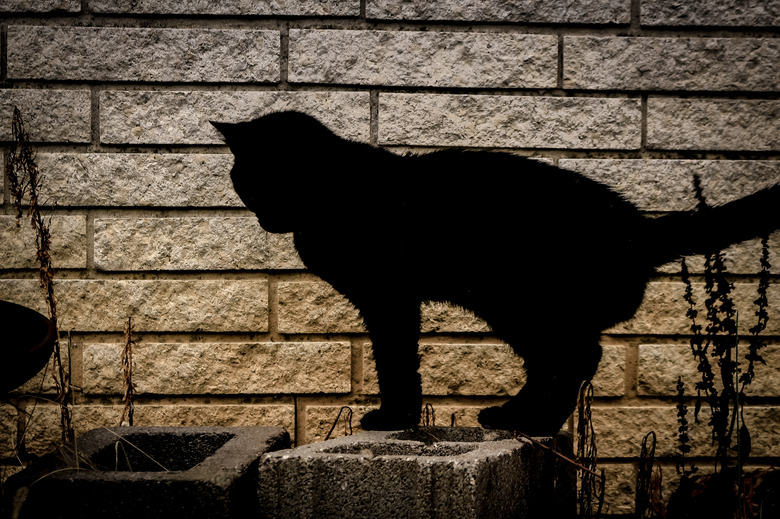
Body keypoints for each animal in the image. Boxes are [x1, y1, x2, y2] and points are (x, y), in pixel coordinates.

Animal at [210, 111, 776, 436]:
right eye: (246, 181)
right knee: (556, 362)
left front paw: (394, 420)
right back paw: (515, 416)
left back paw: (538, 423)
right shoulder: (390, 299)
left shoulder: (389, 297)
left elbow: (395, 361)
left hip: (519, 300)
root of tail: (638, 227)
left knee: (574, 357)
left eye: (267, 179)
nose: (263, 217)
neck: (332, 195)